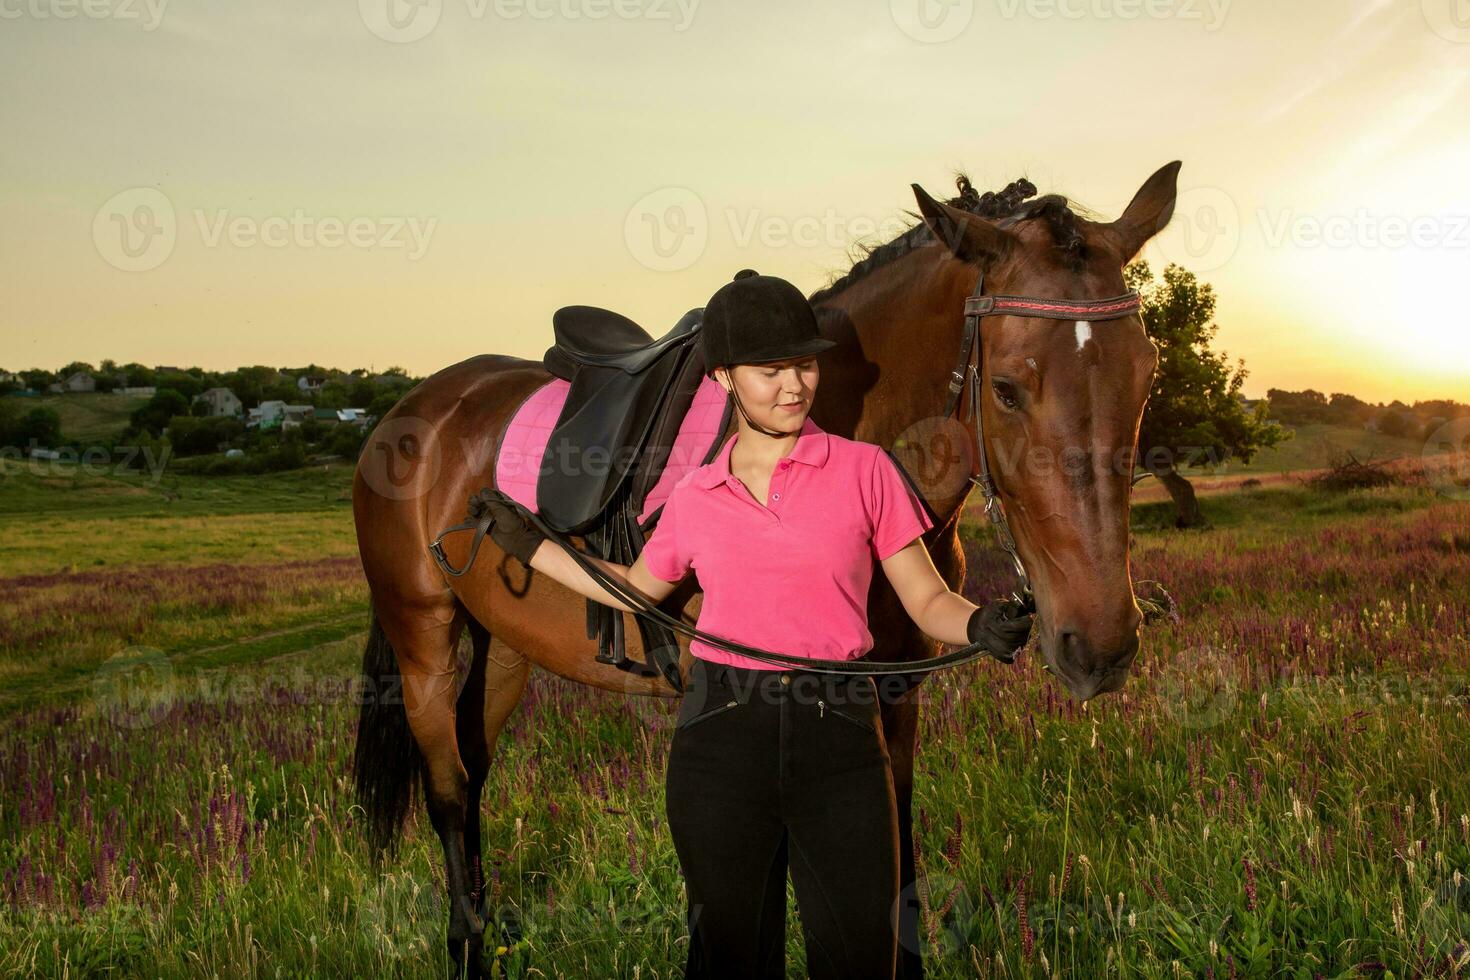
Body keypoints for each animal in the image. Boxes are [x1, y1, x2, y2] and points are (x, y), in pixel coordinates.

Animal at [346, 159, 1181, 975]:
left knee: (474, 774)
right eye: (1006, 388)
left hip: (503, 649)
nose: (1102, 646)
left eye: (1147, 375)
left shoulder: (894, 693)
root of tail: (416, 408)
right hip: (423, 643)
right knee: (449, 792)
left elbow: (895, 858)